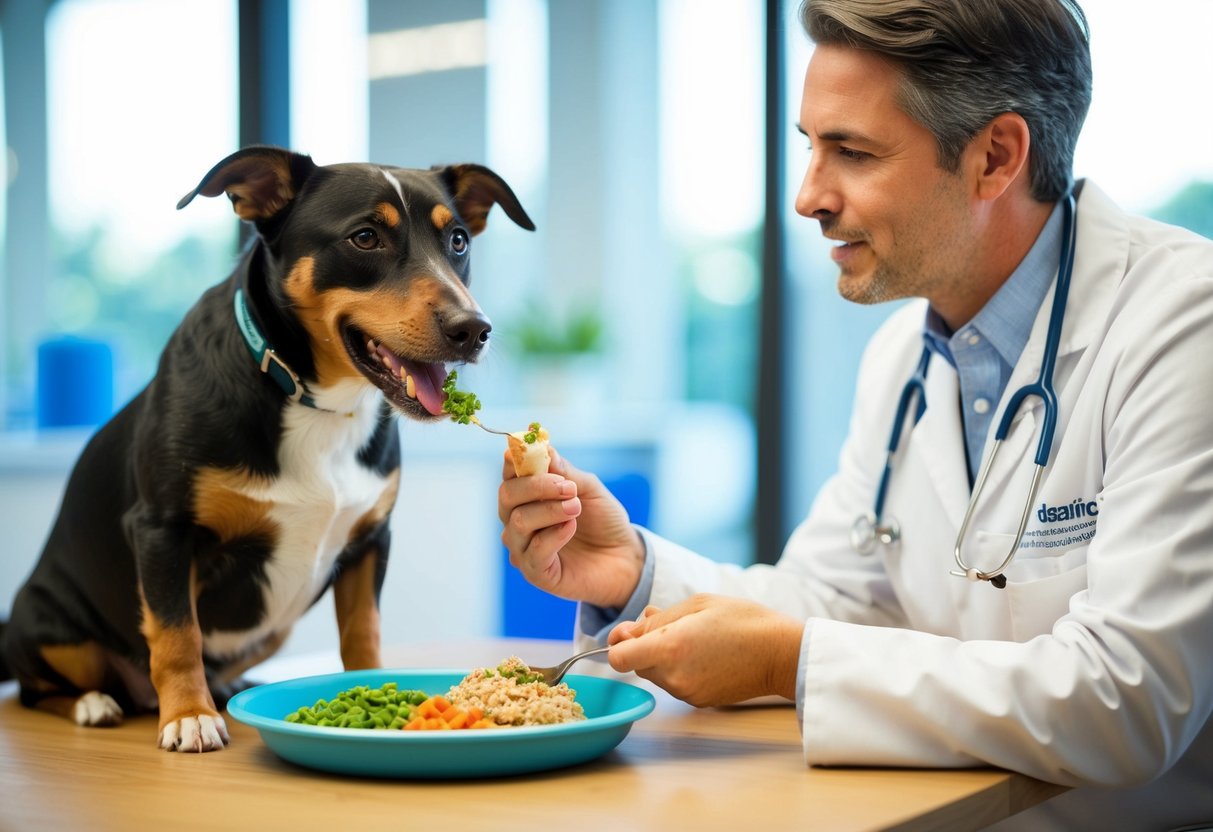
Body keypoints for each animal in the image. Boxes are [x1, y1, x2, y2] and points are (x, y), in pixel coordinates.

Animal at [0, 146, 536, 751]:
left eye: (459, 241)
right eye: (365, 237)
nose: (473, 329)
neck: (315, 401)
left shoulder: (371, 539)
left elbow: (363, 631)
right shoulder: (162, 529)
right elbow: (176, 635)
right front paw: (189, 715)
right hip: (45, 625)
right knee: (38, 688)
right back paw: (96, 703)